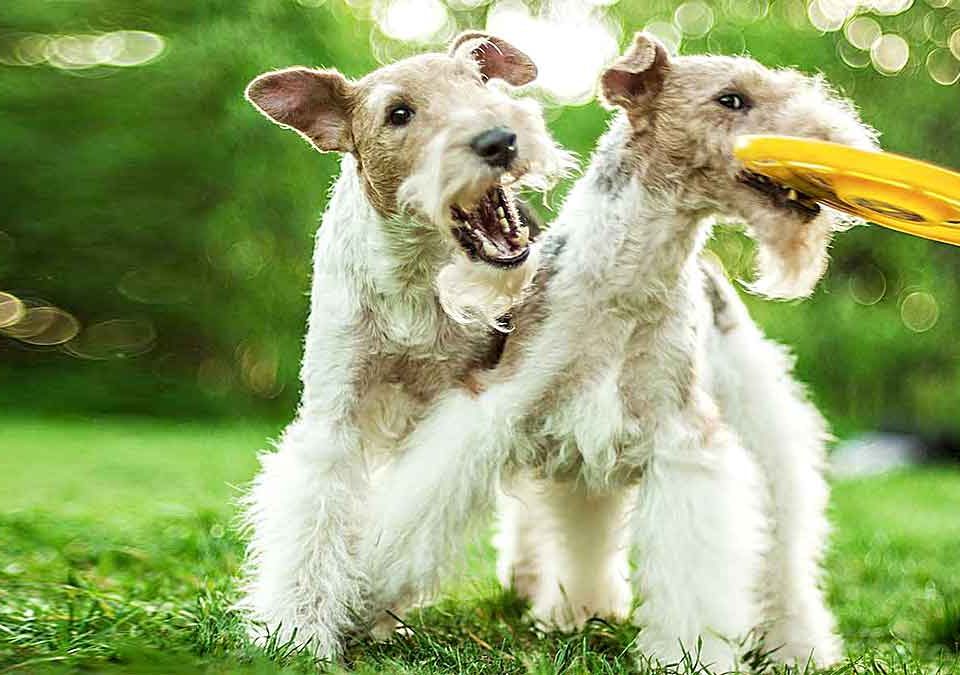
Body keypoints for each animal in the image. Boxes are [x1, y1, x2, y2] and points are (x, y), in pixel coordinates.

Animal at [238, 33, 568, 660]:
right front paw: (299, 631)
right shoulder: (334, 412)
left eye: (479, 82)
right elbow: (316, 516)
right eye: (398, 114)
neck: (416, 277)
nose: (499, 138)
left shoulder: (462, 401)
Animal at [364, 34, 880, 672]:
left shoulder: (685, 442)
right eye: (731, 99)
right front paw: (361, 598)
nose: (835, 150)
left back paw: (794, 644)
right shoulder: (492, 407)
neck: (625, 285)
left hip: (761, 430)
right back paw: (571, 611)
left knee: (782, 555)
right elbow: (413, 515)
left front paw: (692, 653)